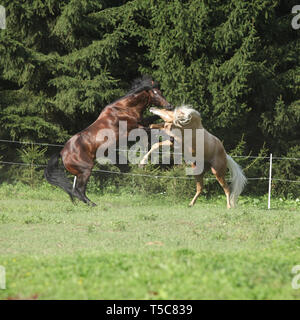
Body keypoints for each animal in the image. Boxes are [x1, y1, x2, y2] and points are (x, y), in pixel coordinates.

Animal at [43, 76, 172, 206]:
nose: (169, 105)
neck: (124, 109)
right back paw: (93, 204)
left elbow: (153, 122)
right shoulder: (133, 130)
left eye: (160, 92)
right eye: (155, 93)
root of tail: (62, 153)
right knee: (79, 190)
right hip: (85, 170)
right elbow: (152, 131)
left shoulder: (142, 122)